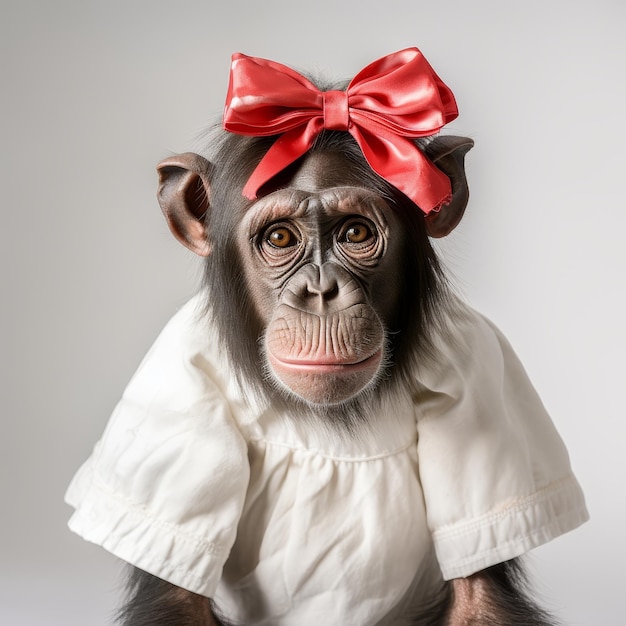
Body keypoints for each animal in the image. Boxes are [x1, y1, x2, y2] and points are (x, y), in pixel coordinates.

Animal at [66, 50, 588, 624]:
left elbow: (479, 595)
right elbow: (176, 597)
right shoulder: (173, 381)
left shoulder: (480, 363)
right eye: (279, 238)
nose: (321, 291)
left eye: (355, 233)